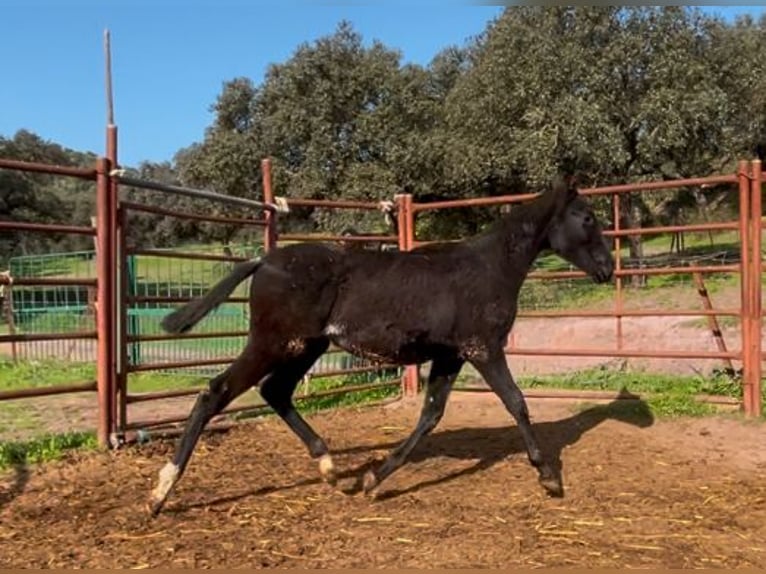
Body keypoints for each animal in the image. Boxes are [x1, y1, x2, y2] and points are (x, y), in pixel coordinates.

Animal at [148, 176, 616, 516]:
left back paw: (330, 469)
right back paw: (159, 495)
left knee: (275, 391)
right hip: (273, 343)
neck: (489, 267)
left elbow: (430, 415)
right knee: (216, 392)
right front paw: (549, 477)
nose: (608, 269)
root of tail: (263, 259)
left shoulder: (450, 355)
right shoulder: (483, 348)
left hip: (306, 347)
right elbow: (516, 401)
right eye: (587, 218)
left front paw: (374, 480)